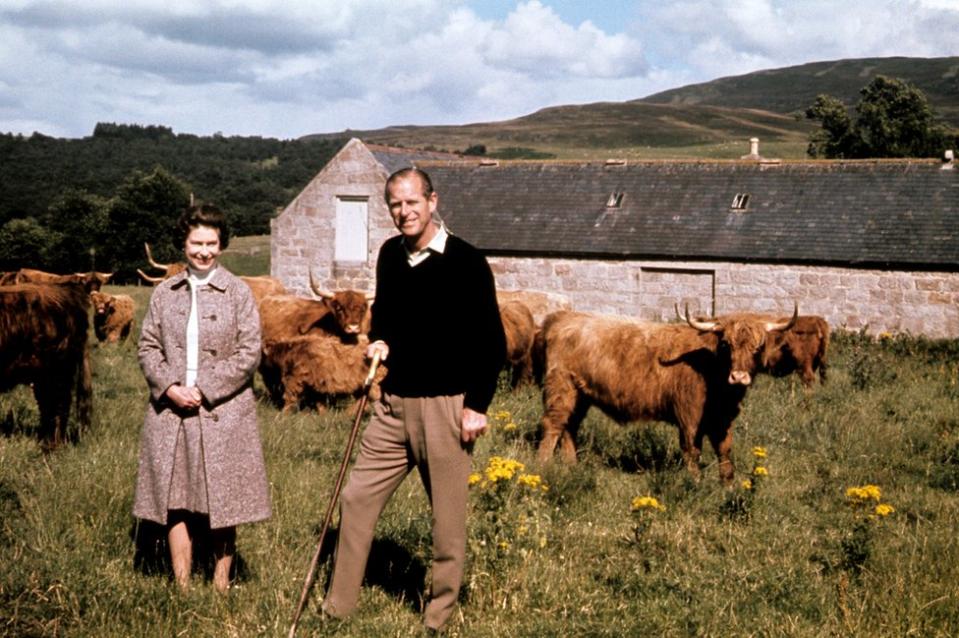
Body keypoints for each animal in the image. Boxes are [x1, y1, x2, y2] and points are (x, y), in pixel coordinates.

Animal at [540, 308, 796, 482]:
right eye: (726, 345)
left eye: (758, 347)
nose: (739, 377)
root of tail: (564, 317)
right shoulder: (689, 416)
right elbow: (692, 451)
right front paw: (695, 483)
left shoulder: (722, 419)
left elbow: (724, 451)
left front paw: (728, 486)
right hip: (561, 388)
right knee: (553, 425)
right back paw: (543, 466)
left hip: (580, 395)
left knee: (569, 427)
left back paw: (572, 465)